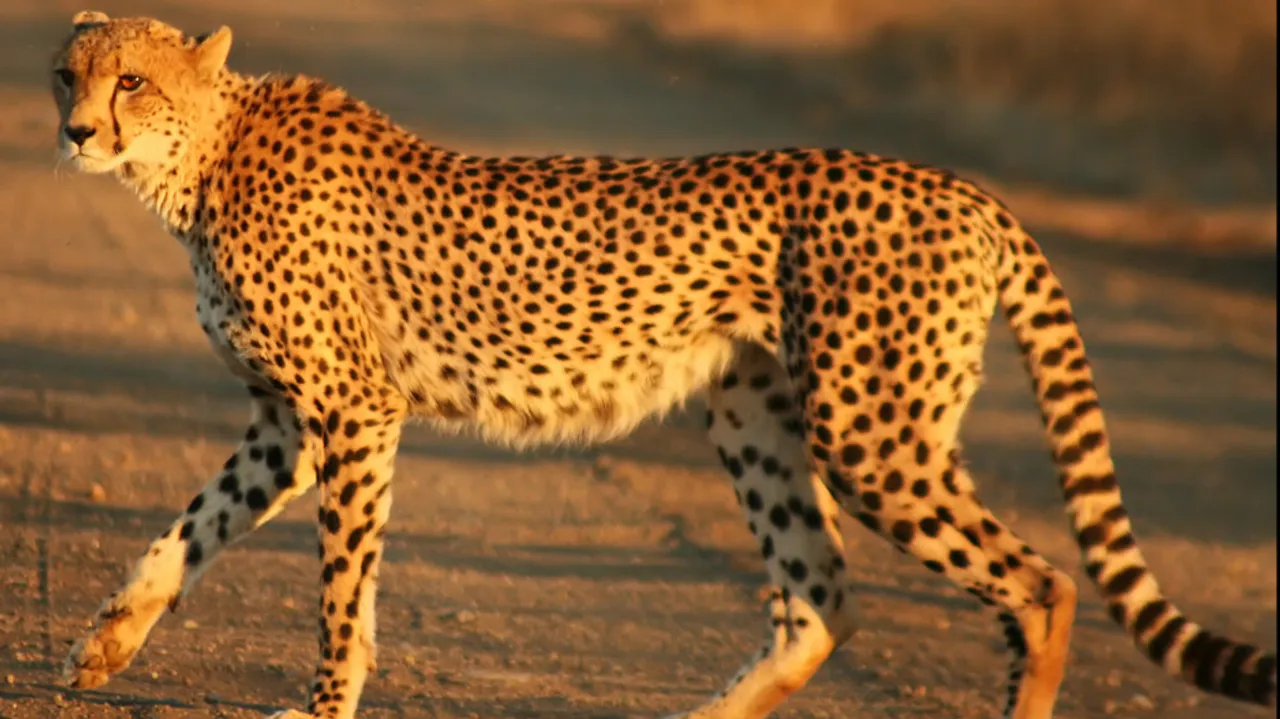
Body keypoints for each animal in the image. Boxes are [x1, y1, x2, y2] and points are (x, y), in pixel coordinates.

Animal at [49, 11, 1275, 719]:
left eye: (132, 84)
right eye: (67, 73)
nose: (71, 135)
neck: (202, 159)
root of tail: (961, 186)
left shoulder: (352, 411)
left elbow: (342, 587)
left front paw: (321, 703)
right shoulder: (285, 422)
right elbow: (191, 525)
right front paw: (109, 638)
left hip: (870, 430)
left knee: (1038, 582)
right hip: (757, 417)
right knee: (818, 600)